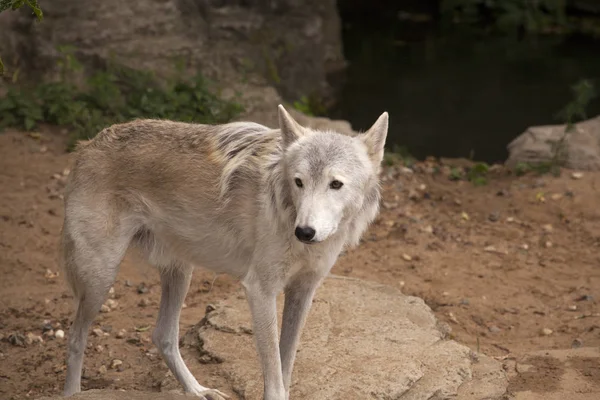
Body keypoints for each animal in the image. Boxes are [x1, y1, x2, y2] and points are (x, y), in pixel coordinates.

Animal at [59, 104, 390, 398]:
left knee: (162, 336)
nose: (305, 232)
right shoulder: (260, 290)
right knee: (75, 339)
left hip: (180, 273)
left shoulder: (303, 291)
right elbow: (274, 377)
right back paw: (72, 392)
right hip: (100, 278)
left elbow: (285, 367)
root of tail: (88, 144)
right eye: (299, 182)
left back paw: (197, 391)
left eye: (335, 184)